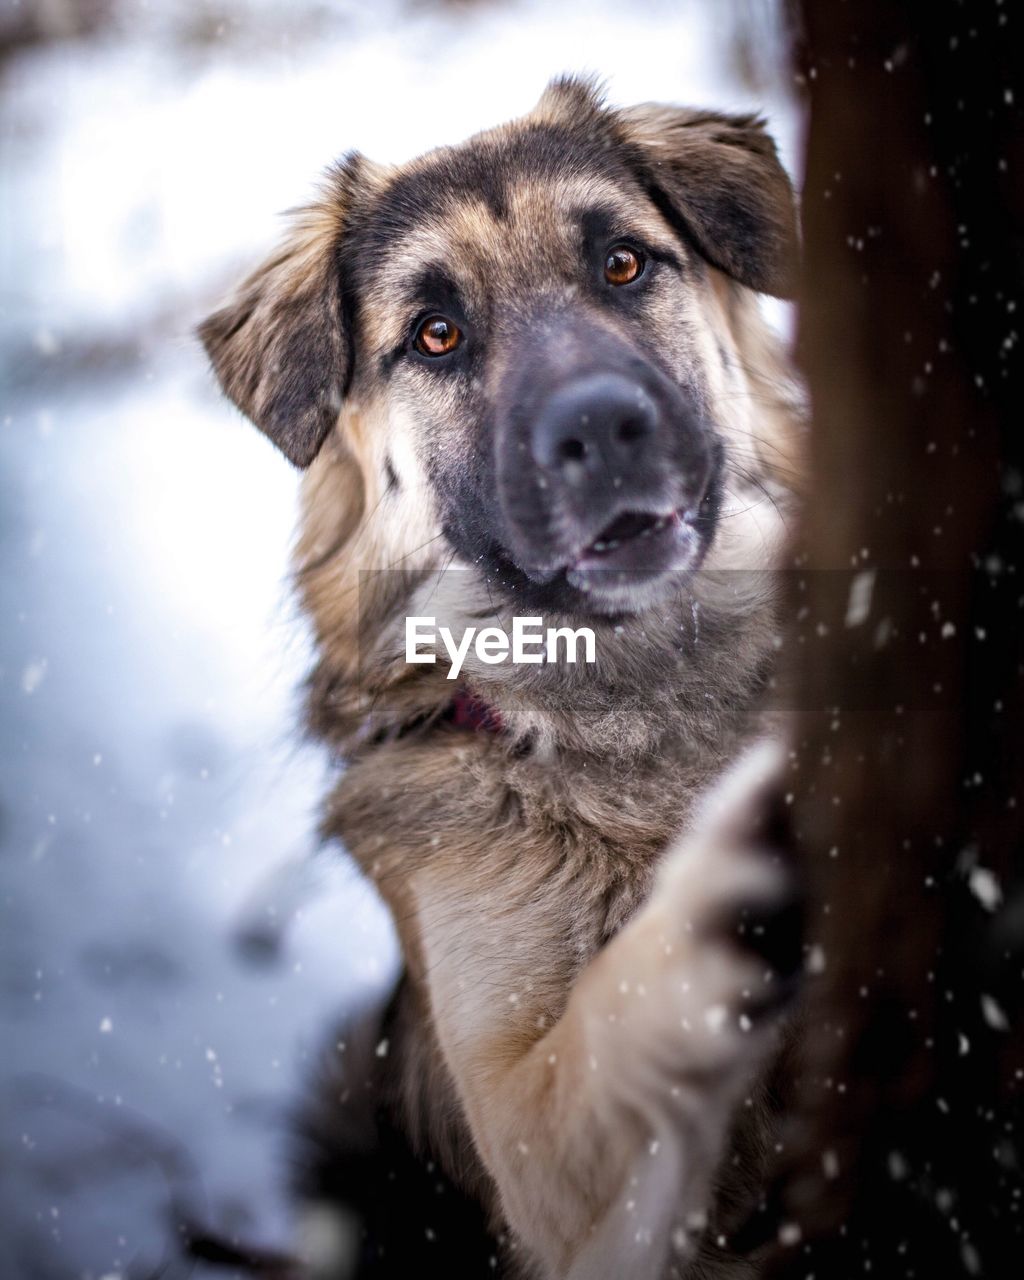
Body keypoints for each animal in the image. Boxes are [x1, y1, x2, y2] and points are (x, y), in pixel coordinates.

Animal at [202, 80, 808, 1280]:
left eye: (622, 264)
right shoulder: (534, 1148)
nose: (603, 427)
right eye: (436, 334)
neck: (627, 702)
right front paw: (733, 865)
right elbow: (625, 1000)